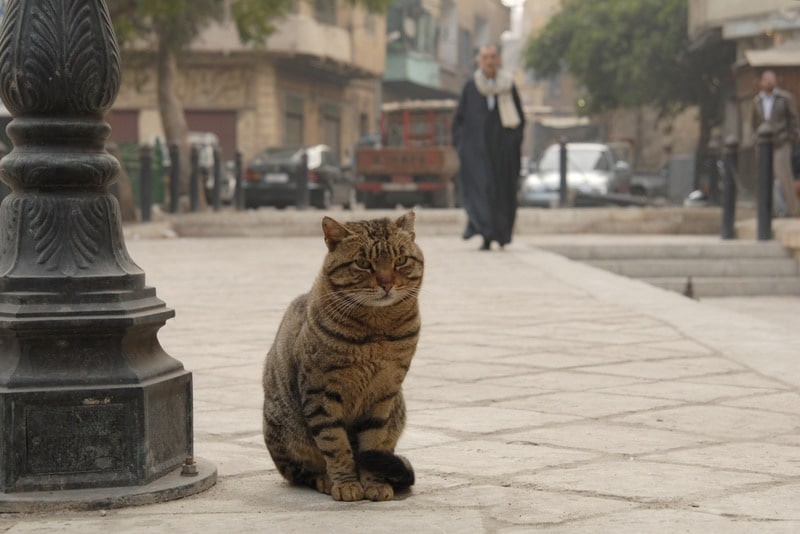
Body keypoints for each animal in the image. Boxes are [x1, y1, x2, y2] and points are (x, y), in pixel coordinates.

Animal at [264, 213, 424, 502]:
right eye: (363, 263)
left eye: (400, 260)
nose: (386, 283)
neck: (376, 330)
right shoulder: (321, 392)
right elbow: (335, 444)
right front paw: (347, 483)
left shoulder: (384, 393)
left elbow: (373, 442)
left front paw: (374, 483)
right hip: (283, 428)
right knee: (301, 472)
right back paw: (324, 480)